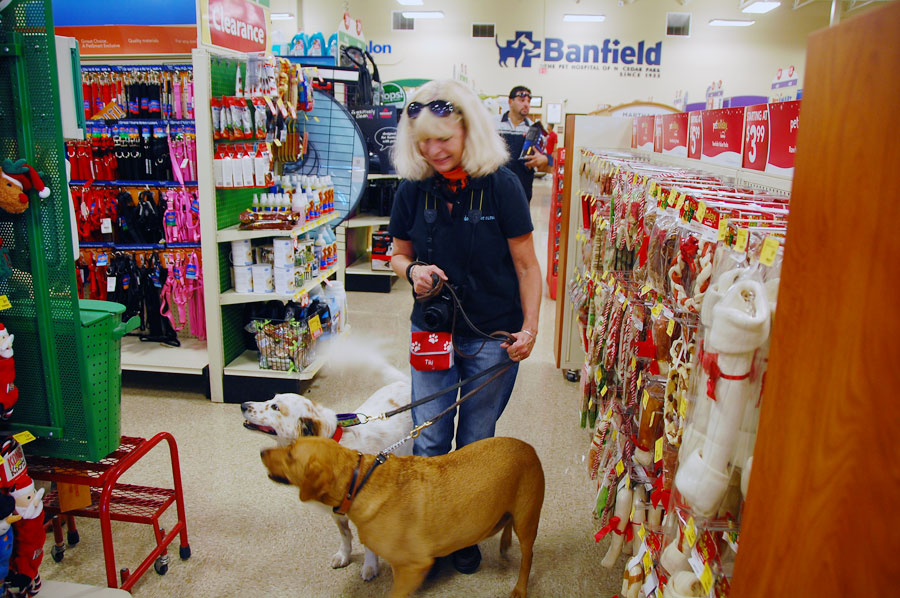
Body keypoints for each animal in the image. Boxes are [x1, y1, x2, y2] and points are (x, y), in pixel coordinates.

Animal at [260, 436, 540, 598]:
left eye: (290, 454)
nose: (261, 452)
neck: (359, 482)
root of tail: (528, 447)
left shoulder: (412, 567)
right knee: (506, 522)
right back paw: (504, 542)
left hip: (527, 521)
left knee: (528, 558)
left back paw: (519, 588)